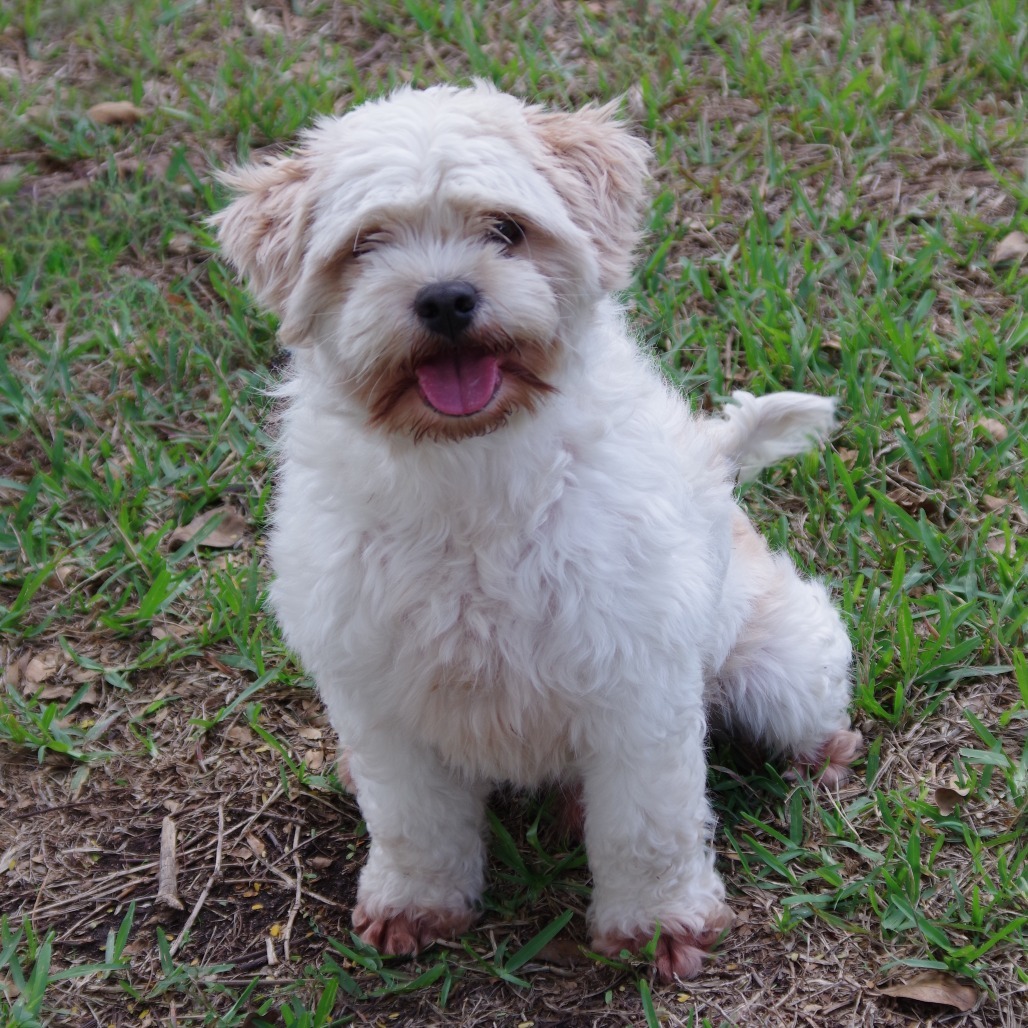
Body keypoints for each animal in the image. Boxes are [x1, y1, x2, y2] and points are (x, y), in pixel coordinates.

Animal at [212, 82, 863, 978]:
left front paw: (655, 925)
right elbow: (413, 822)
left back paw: (823, 755)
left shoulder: (634, 685)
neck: (469, 469)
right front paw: (416, 905)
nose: (446, 297)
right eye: (366, 244)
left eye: (506, 230)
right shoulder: (378, 693)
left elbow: (647, 826)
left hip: (780, 672)